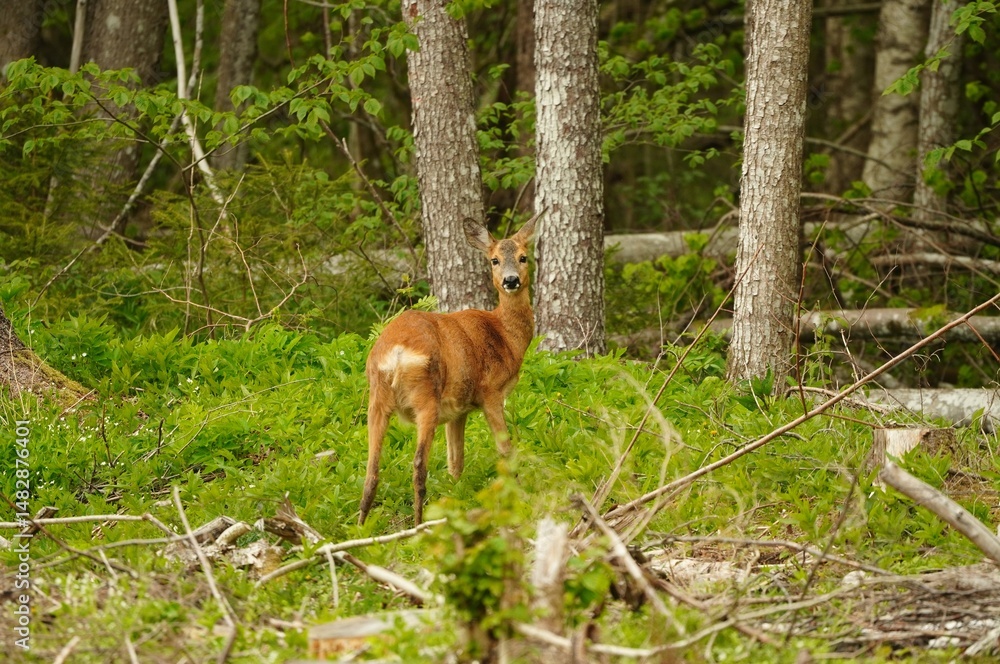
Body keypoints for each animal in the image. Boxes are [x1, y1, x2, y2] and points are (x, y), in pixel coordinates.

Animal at [359, 212, 541, 526]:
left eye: (523, 257)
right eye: (494, 260)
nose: (511, 280)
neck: (505, 336)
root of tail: (396, 353)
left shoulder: (458, 409)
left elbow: (455, 461)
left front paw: (456, 496)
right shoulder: (491, 392)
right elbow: (505, 450)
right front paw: (520, 497)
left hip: (377, 398)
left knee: (371, 470)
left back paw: (359, 529)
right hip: (426, 397)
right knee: (418, 463)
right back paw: (418, 524)